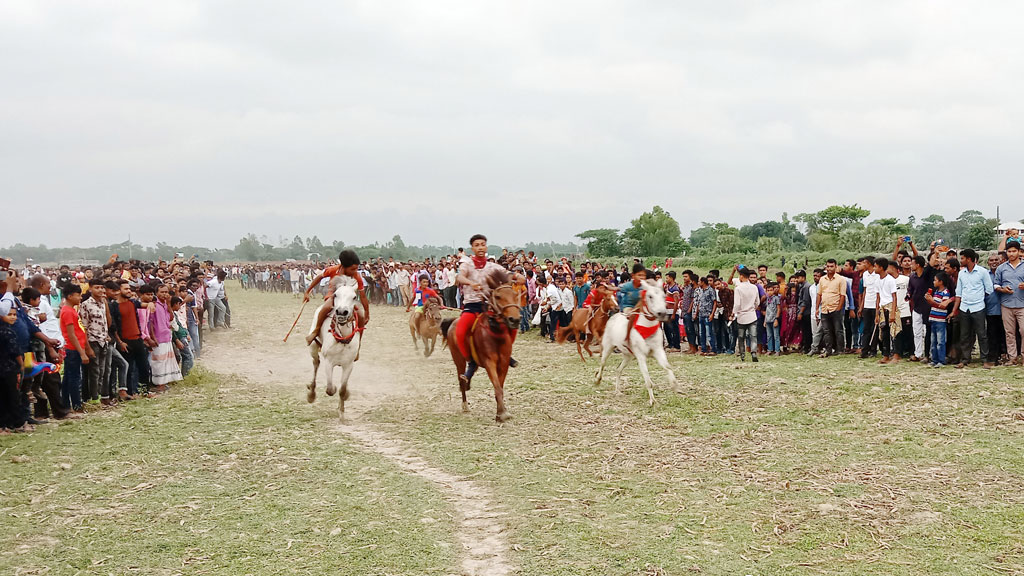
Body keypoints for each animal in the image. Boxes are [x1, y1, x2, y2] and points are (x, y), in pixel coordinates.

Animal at [305, 282, 362, 416]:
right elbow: (330, 389)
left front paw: (342, 410)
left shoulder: (348, 365)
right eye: (336, 295)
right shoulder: (329, 362)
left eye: (354, 297)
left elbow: (342, 390)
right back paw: (311, 393)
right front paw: (334, 389)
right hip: (313, 348)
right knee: (316, 363)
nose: (341, 312)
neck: (342, 340)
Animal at [438, 268, 520, 422]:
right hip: (458, 359)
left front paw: (500, 411)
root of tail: (453, 322)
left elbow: (500, 386)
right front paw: (502, 413)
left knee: (470, 370)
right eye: (498, 296)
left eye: (515, 295)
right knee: (461, 380)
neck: (495, 333)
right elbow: (497, 387)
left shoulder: (503, 363)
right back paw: (465, 404)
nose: (515, 320)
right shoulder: (489, 362)